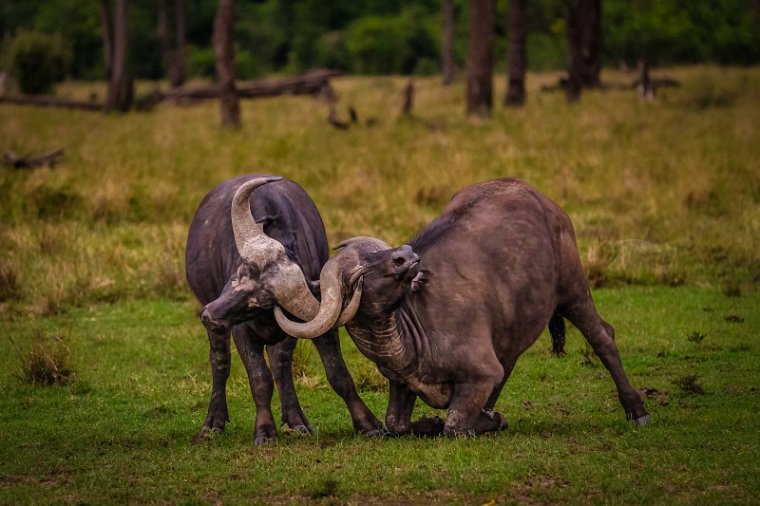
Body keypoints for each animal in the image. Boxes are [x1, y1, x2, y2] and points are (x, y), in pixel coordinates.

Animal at [187, 176, 382, 444]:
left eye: (263, 299)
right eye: (240, 272)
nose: (211, 315)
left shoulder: (313, 323)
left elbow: (338, 373)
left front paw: (369, 423)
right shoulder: (241, 331)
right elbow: (260, 378)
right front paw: (264, 431)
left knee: (281, 365)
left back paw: (296, 420)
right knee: (220, 362)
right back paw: (212, 424)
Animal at [276, 180, 652, 436]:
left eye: (379, 254)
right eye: (359, 272)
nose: (406, 256)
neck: (411, 337)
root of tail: (540, 197)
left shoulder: (481, 373)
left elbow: (455, 425)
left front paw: (487, 420)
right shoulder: (402, 384)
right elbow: (395, 424)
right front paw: (429, 422)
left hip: (573, 289)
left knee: (603, 336)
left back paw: (637, 410)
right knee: (511, 361)